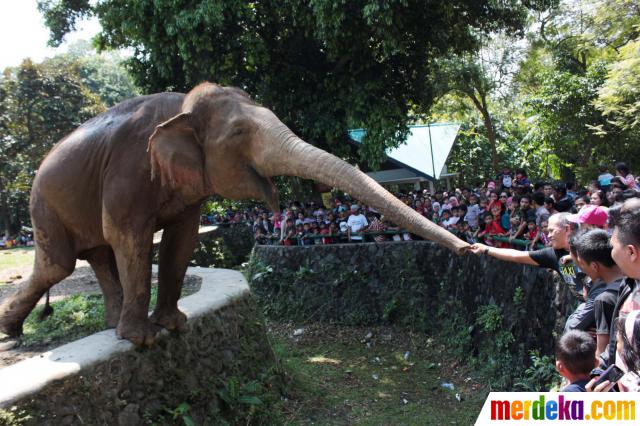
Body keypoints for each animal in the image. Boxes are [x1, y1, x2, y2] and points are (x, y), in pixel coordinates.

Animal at [0, 83, 470, 346]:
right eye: (241, 132)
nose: (473, 249)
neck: (181, 105)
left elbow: (183, 240)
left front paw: (176, 325)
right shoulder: (129, 171)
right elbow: (130, 238)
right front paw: (144, 340)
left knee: (95, 256)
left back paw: (102, 326)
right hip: (43, 205)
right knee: (61, 264)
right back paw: (14, 334)